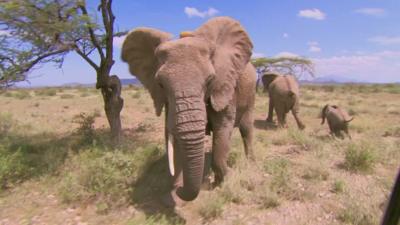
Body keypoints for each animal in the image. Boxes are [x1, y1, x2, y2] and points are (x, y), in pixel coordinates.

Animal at [120, 16, 256, 205]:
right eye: (160, 84)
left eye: (210, 80)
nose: (180, 190)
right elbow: (171, 134)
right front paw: (175, 194)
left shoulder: (225, 86)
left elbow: (223, 127)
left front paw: (221, 182)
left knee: (246, 128)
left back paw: (250, 164)